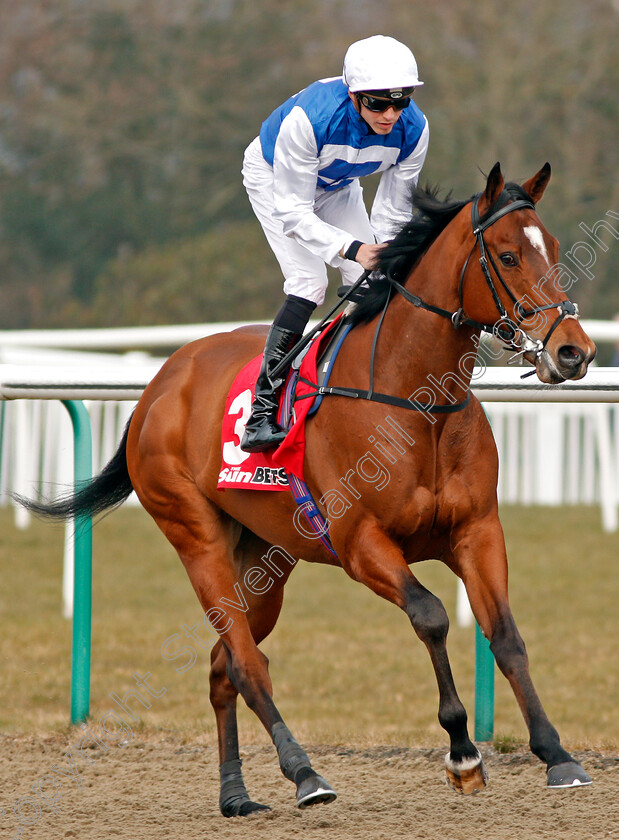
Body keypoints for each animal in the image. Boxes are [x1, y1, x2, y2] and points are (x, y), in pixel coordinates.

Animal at [24, 162, 596, 812]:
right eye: (506, 256)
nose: (573, 351)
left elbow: (506, 636)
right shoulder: (361, 543)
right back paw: (304, 773)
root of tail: (160, 383)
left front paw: (556, 754)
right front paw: (462, 751)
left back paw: (236, 794)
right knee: (247, 664)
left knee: (224, 665)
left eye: (553, 249)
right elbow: (430, 615)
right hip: (197, 539)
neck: (415, 401)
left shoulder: (477, 530)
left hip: (264, 562)